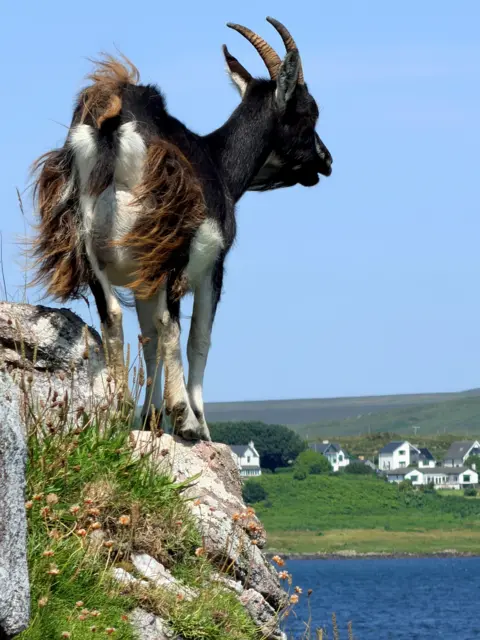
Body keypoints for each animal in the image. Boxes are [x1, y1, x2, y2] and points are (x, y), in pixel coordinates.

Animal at [30, 17, 333, 441]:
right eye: (309, 113)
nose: (326, 160)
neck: (217, 162)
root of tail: (113, 127)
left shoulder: (142, 281)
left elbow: (149, 338)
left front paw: (151, 418)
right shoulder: (211, 266)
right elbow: (197, 338)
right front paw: (196, 422)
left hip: (91, 246)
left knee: (113, 316)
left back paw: (121, 410)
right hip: (166, 251)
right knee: (169, 325)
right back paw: (185, 419)